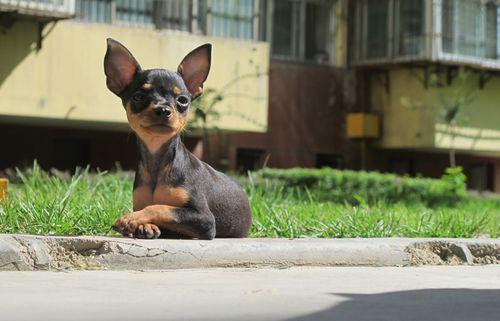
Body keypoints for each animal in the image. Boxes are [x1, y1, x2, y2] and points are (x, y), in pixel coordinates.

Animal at [106, 38, 254, 239]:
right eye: (139, 97)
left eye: (183, 100)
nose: (163, 109)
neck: (158, 162)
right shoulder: (141, 203)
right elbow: (152, 208)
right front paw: (145, 226)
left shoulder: (205, 220)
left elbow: (161, 207)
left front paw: (131, 219)